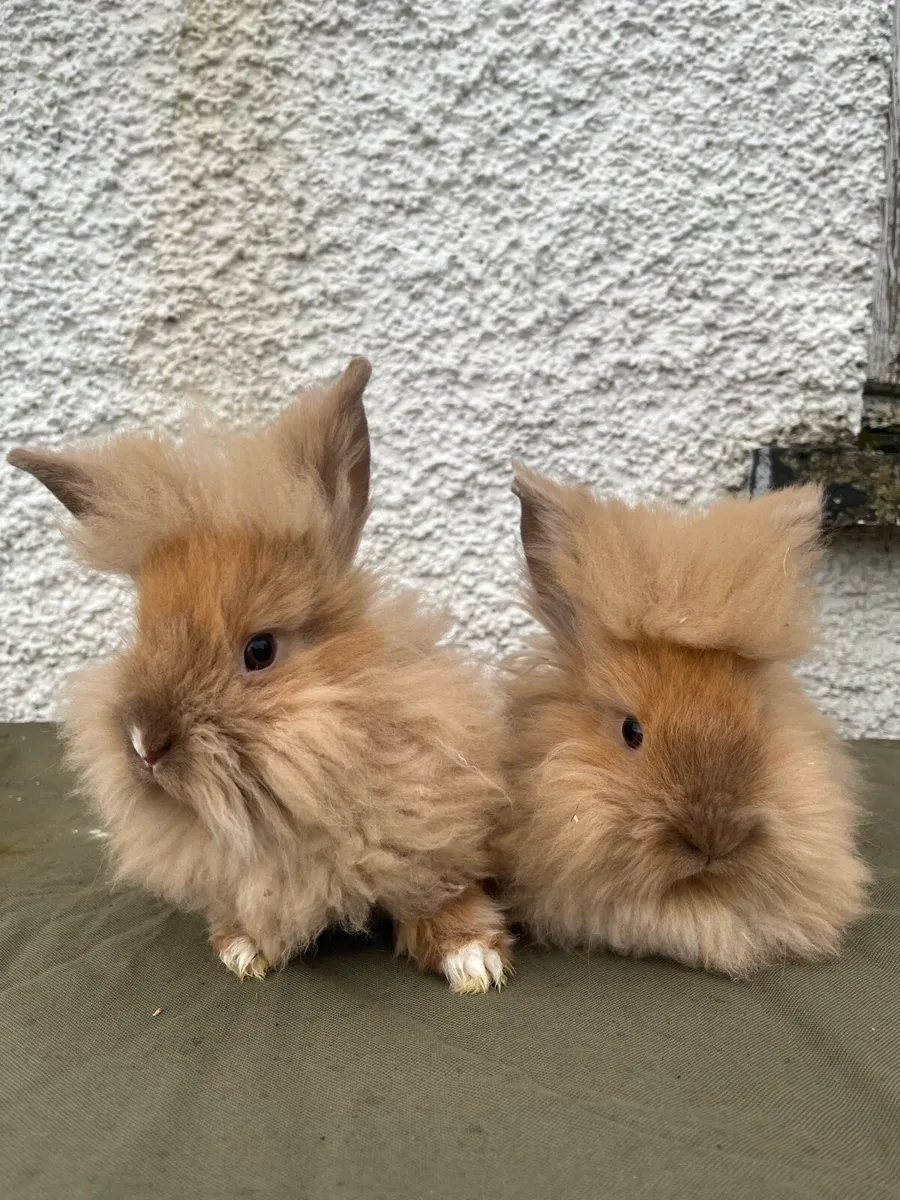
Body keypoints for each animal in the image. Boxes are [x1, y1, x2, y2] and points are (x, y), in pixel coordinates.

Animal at [7, 359, 512, 993]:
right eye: (140, 636)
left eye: (261, 650)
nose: (145, 746)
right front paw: (242, 951)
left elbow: (442, 897)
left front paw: (475, 962)